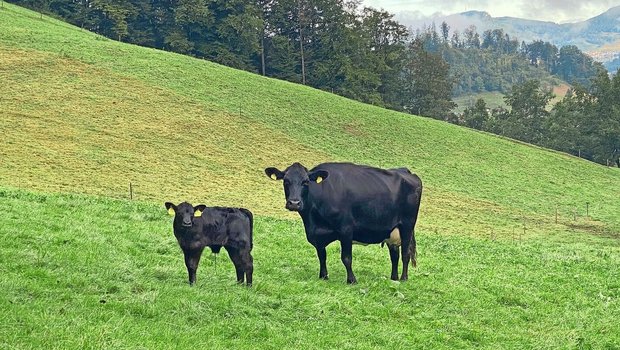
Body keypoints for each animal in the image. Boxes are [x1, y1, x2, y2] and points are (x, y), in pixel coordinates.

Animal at [264, 163, 424, 284]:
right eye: (286, 181)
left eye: (306, 182)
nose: (294, 203)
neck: (312, 220)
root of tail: (405, 171)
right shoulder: (317, 235)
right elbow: (322, 256)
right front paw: (323, 276)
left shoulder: (346, 230)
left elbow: (346, 258)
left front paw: (352, 280)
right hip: (392, 230)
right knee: (394, 255)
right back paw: (393, 278)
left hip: (407, 226)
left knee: (405, 254)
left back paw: (403, 278)